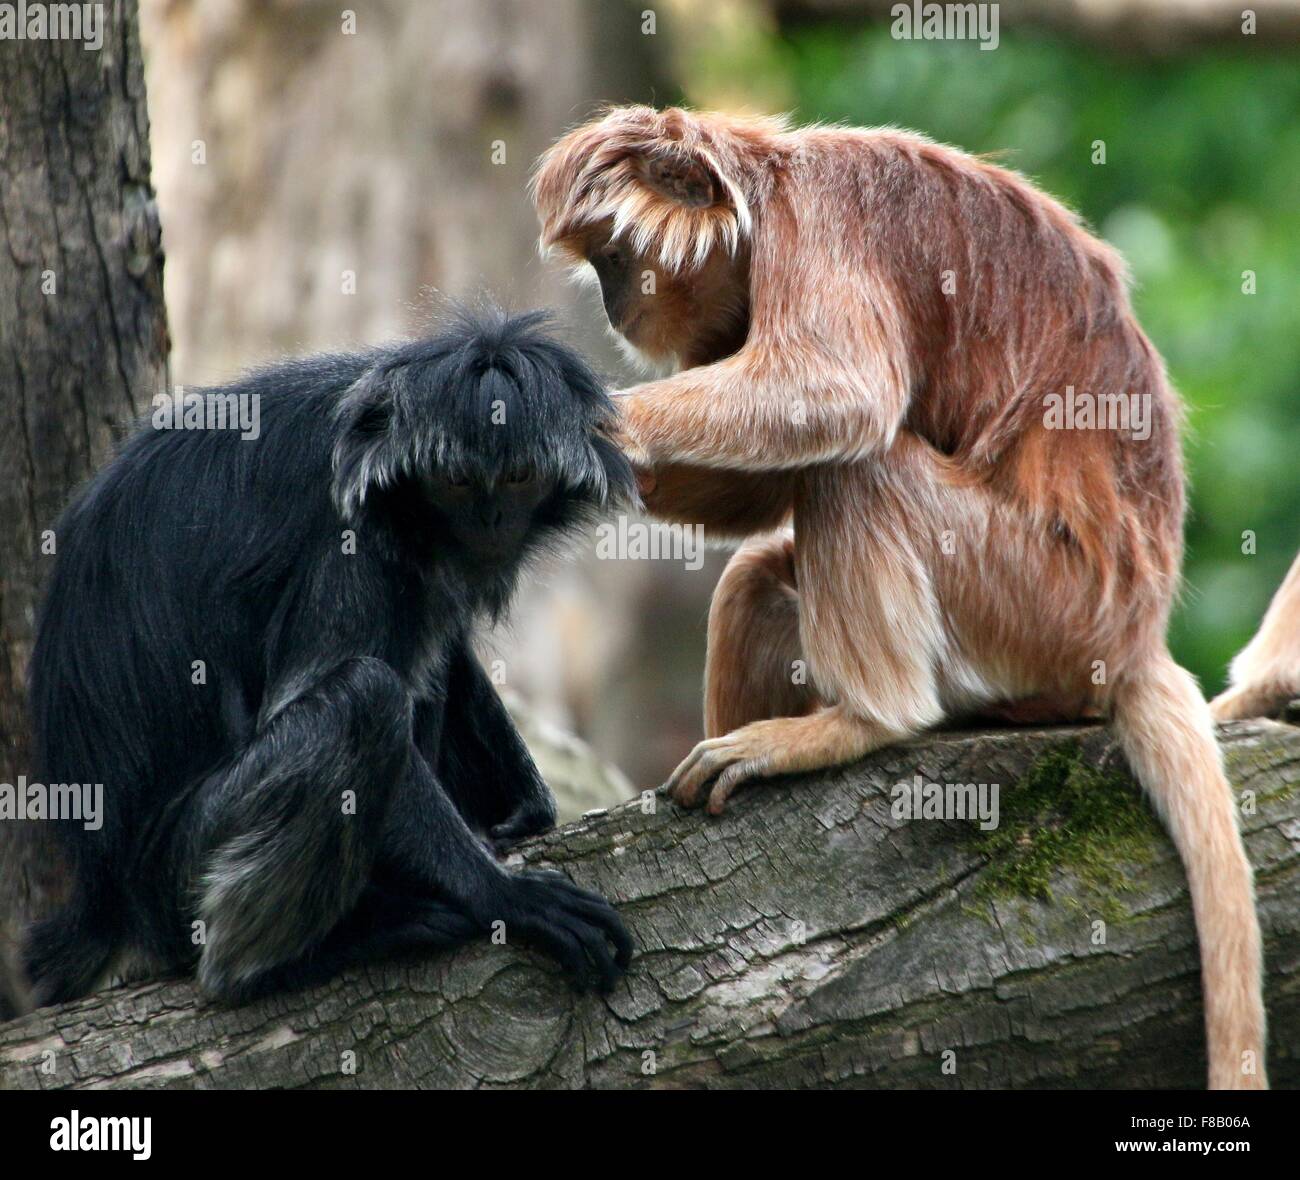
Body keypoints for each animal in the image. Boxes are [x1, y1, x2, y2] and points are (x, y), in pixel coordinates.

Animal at [27, 306, 637, 1003]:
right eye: (457, 483)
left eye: (517, 479)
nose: (491, 520)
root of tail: (105, 894)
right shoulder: (351, 540)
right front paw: (503, 896)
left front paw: (526, 803)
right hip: (179, 869)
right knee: (364, 698)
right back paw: (271, 965)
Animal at [533, 108, 1263, 1086]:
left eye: (615, 258)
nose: (613, 304)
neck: (767, 194)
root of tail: (1138, 634)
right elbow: (765, 489)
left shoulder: (821, 227)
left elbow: (839, 398)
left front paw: (577, 421)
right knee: (761, 575)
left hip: (1038, 601)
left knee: (861, 466)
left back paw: (860, 722)